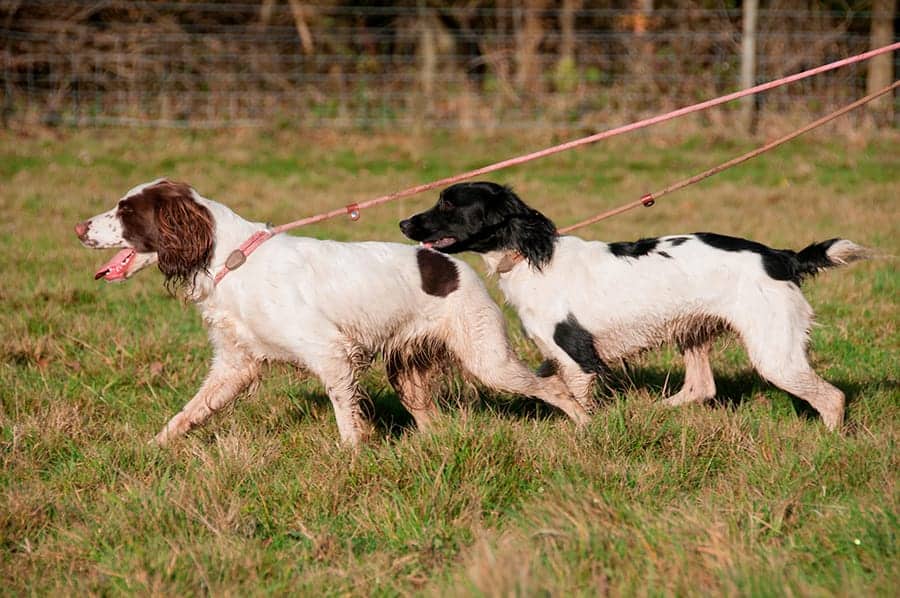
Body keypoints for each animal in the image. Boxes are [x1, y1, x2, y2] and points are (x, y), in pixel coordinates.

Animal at [77, 178, 592, 446]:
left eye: (125, 210)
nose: (80, 227)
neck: (232, 258)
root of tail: (452, 264)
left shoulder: (331, 352)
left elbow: (347, 417)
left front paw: (353, 456)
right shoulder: (235, 365)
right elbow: (188, 413)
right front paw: (153, 449)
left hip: (487, 357)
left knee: (552, 386)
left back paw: (585, 425)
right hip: (409, 369)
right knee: (430, 416)